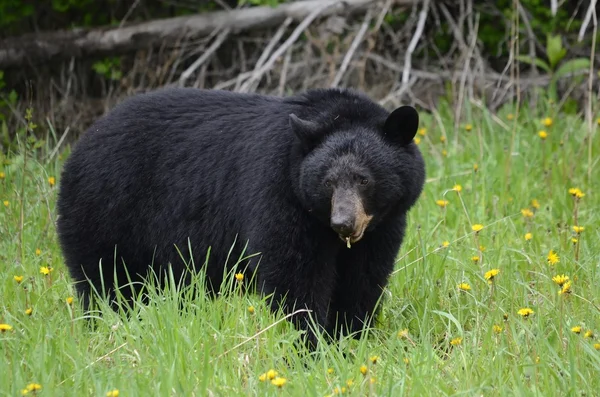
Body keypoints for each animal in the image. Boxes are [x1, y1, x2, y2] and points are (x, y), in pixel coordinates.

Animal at [55, 87, 422, 346]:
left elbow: (363, 278)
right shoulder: (278, 192)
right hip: (107, 210)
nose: (343, 223)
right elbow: (294, 273)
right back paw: (107, 325)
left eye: (364, 179)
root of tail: (80, 146)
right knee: (107, 281)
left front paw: (349, 338)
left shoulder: (383, 225)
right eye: (328, 181)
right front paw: (307, 341)